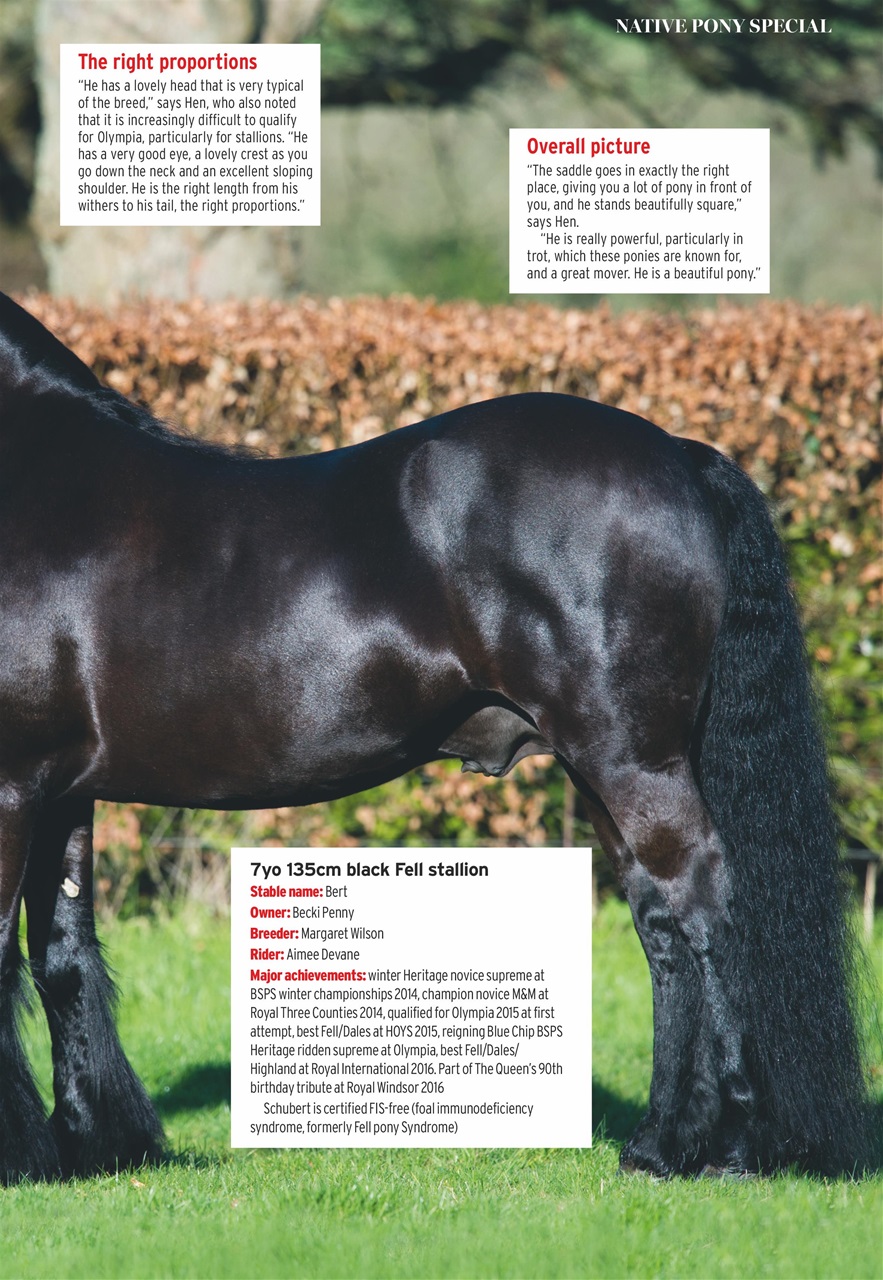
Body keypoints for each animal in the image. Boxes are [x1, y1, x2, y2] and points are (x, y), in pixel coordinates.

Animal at [0, 291, 870, 1182]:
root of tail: (677, 455)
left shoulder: (13, 786)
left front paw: (23, 1155)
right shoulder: (61, 790)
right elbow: (60, 954)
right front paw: (89, 1146)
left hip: (635, 762)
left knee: (699, 913)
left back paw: (726, 1146)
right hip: (606, 770)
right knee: (658, 923)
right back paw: (661, 1144)